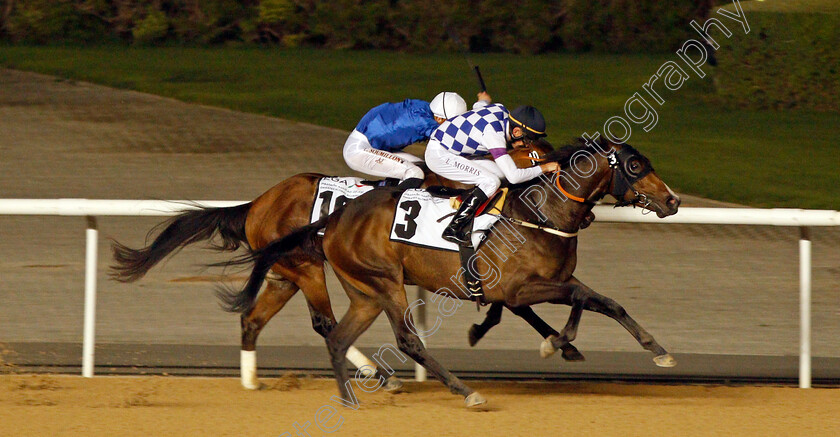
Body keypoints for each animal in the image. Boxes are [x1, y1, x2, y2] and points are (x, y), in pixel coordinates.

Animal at [110, 149, 556, 388]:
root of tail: (258, 204)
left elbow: (516, 301)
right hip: (307, 266)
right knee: (324, 322)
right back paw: (379, 375)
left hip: (284, 274)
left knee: (255, 319)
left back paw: (252, 380)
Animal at [226, 139, 680, 406]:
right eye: (635, 166)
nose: (672, 201)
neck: (539, 214)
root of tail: (335, 219)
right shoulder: (518, 289)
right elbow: (581, 299)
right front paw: (557, 342)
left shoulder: (550, 281)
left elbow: (604, 301)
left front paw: (655, 350)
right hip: (376, 281)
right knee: (404, 340)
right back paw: (463, 390)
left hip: (355, 289)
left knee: (329, 334)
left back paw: (348, 397)